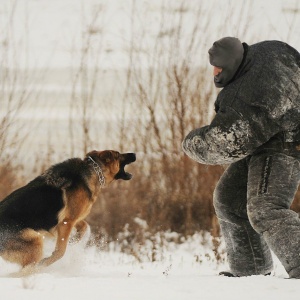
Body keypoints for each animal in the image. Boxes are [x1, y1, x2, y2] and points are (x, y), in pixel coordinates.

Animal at [0, 150, 135, 274]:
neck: (93, 170)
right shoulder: (67, 222)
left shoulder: (70, 220)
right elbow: (60, 252)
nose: (134, 154)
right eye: (118, 155)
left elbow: (85, 226)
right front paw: (48, 260)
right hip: (35, 240)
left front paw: (74, 240)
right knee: (26, 269)